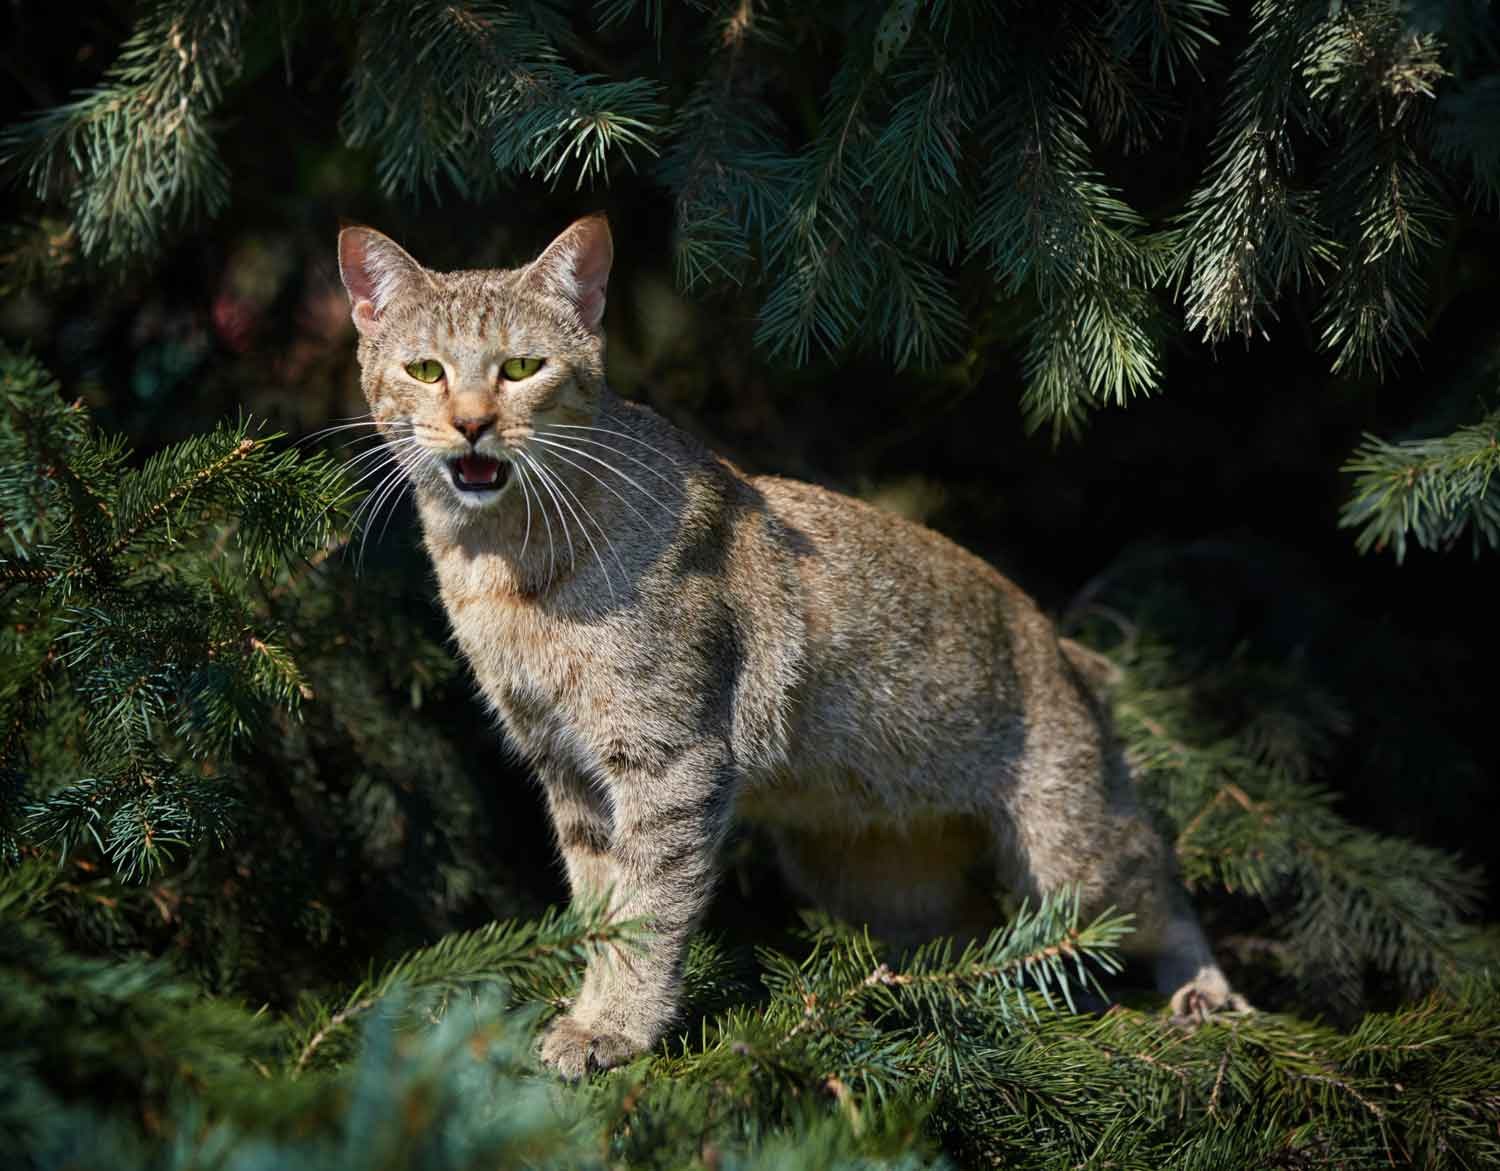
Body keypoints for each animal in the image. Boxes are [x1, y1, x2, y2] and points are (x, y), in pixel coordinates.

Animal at [337, 212, 1242, 1079]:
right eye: (426, 370)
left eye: (522, 366)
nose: (472, 425)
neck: (501, 562)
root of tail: (1060, 644)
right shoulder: (571, 772)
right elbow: (599, 909)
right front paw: (592, 1008)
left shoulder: (671, 762)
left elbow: (646, 912)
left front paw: (615, 1028)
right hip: (873, 875)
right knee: (980, 927)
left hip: (1071, 858)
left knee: (1161, 881)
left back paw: (1205, 993)